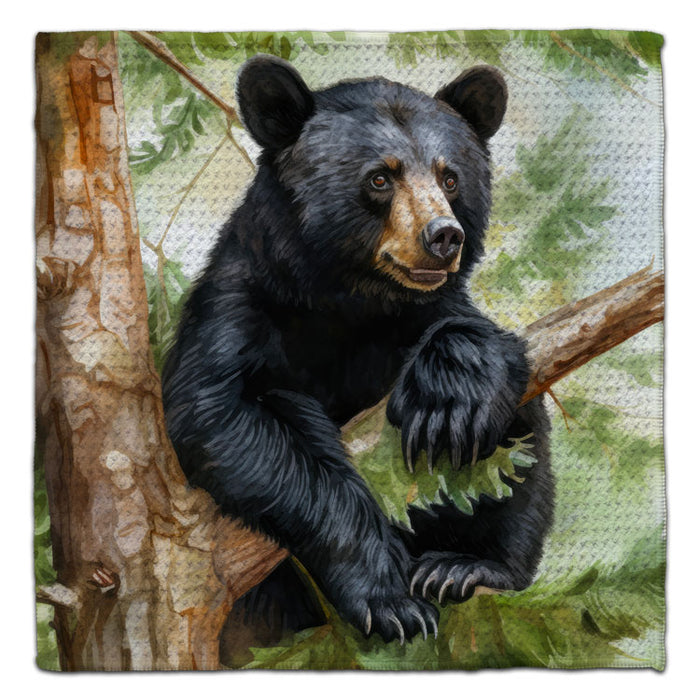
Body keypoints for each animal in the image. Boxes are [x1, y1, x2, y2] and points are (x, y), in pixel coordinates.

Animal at [161, 55, 554, 645]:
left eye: (450, 177)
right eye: (380, 178)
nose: (444, 236)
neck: (350, 299)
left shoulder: (420, 313)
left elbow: (487, 348)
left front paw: (447, 400)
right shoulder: (242, 305)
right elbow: (228, 413)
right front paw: (387, 596)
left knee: (521, 448)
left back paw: (464, 567)